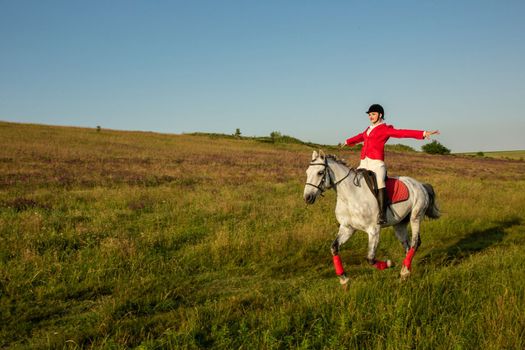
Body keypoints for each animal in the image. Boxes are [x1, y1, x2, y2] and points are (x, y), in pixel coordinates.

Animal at [302, 150, 438, 284]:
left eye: (320, 173)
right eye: (307, 172)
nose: (307, 197)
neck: (350, 196)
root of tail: (420, 185)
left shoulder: (374, 230)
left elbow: (370, 259)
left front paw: (390, 263)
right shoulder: (347, 228)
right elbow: (334, 247)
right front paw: (344, 279)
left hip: (416, 217)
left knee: (415, 243)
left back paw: (404, 271)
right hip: (399, 225)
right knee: (407, 246)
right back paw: (405, 271)